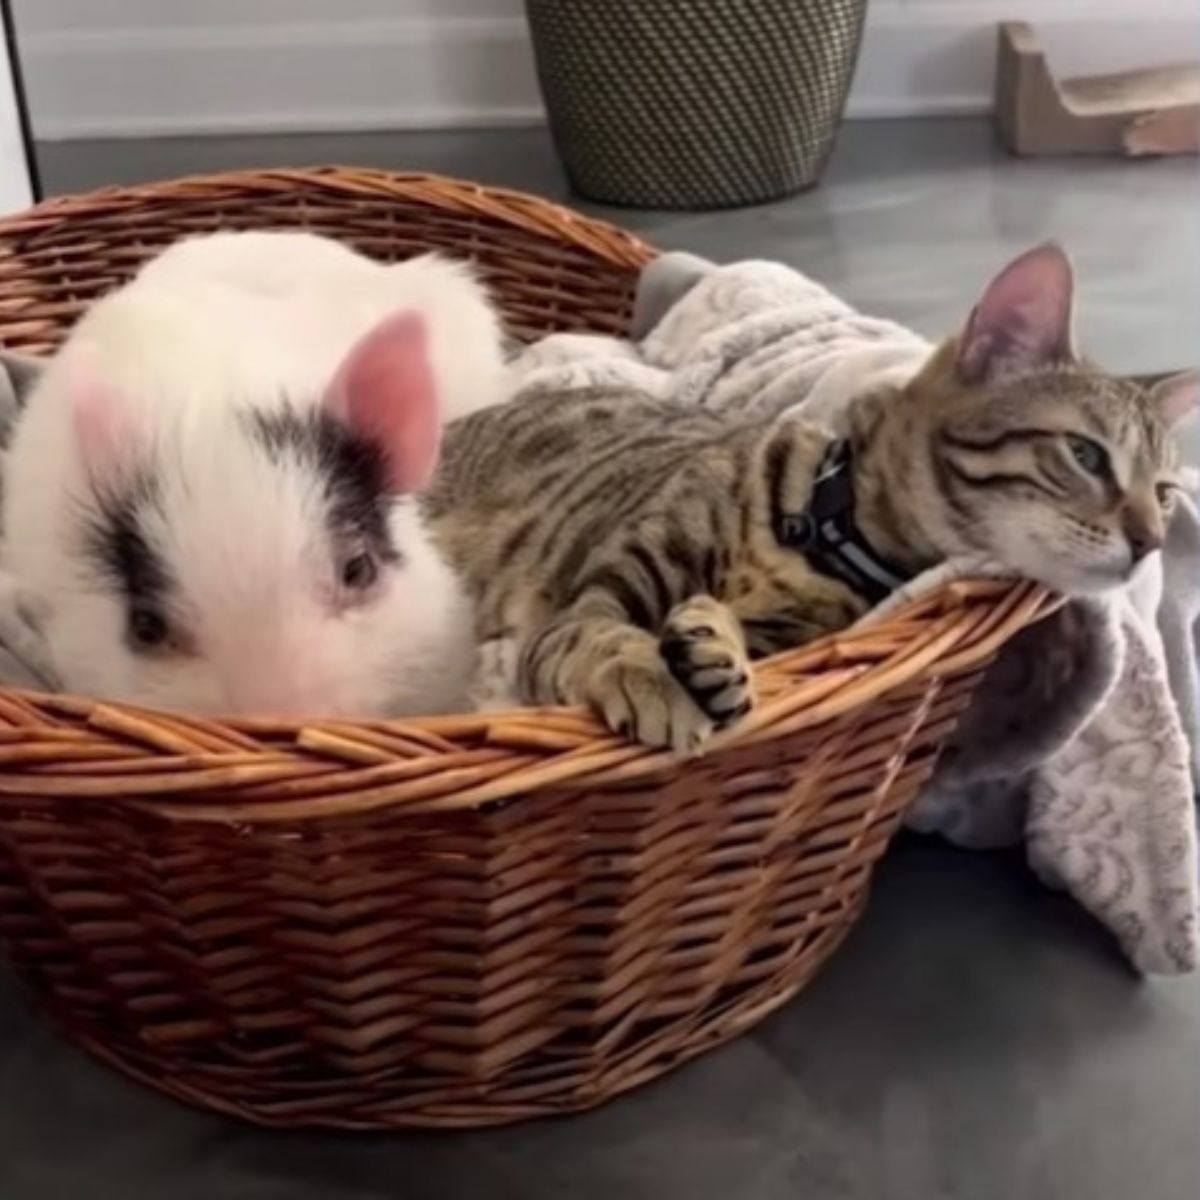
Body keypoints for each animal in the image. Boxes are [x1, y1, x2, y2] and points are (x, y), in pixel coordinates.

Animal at [422, 244, 1190, 748]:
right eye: (1086, 454)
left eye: (1164, 493)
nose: (1152, 541)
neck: (825, 531)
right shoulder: (586, 603)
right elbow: (599, 632)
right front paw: (650, 673)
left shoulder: (798, 640)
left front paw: (709, 642)